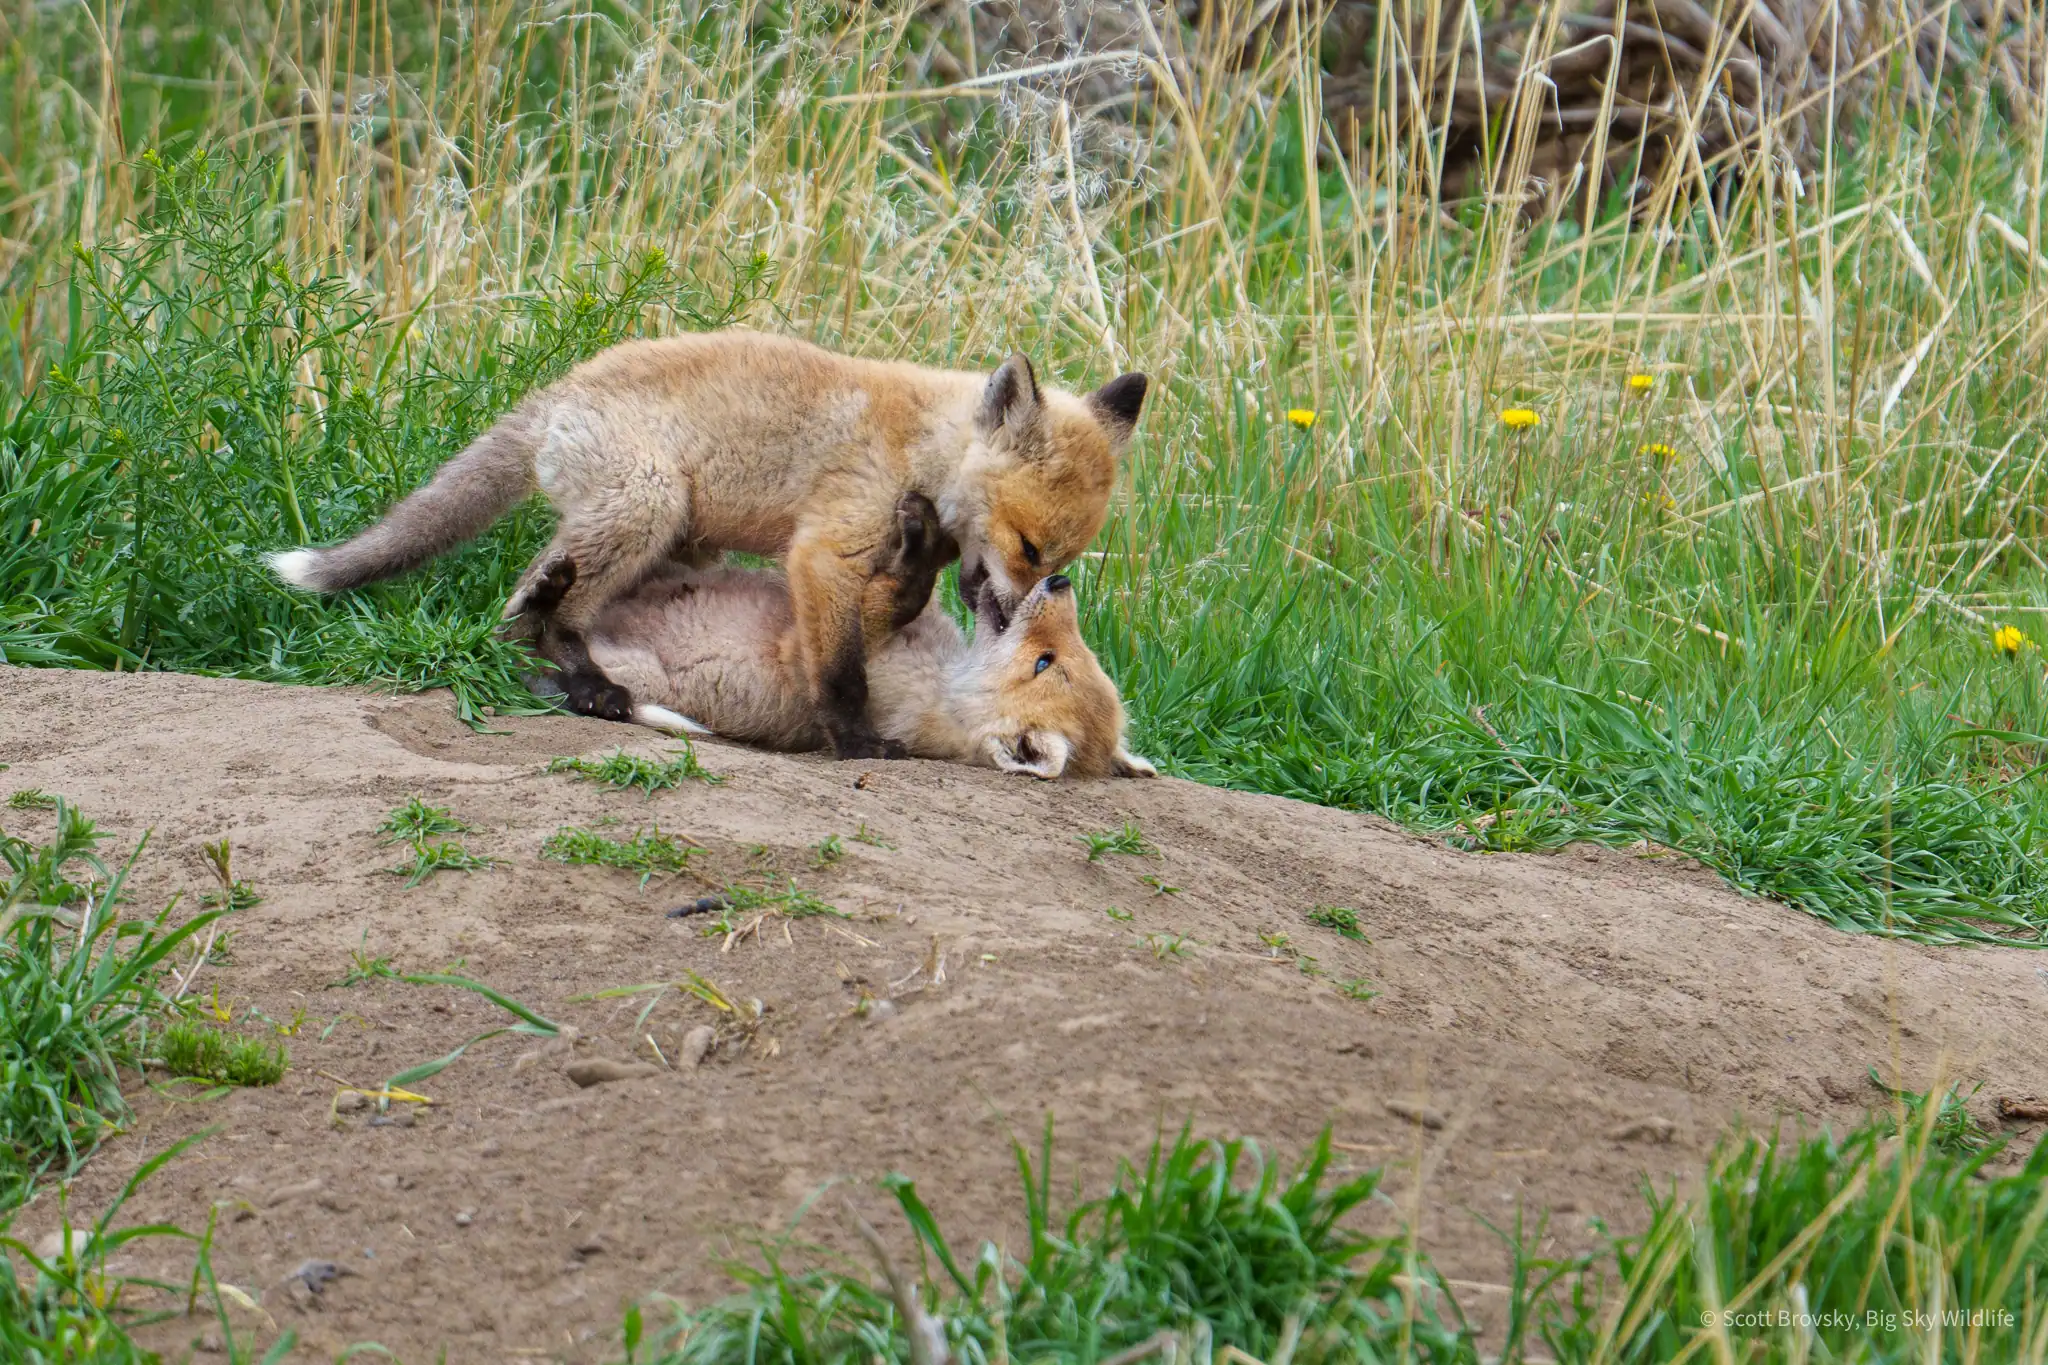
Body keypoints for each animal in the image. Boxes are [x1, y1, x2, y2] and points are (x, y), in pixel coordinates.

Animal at [511, 492, 1157, 780]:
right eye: (1073, 656)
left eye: (1046, 663)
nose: (1060, 579)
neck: (945, 680)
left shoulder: (817, 656)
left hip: (634, 673)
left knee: (544, 656)